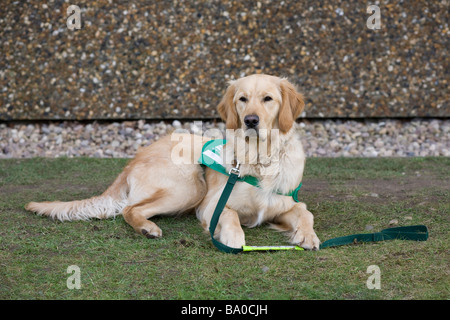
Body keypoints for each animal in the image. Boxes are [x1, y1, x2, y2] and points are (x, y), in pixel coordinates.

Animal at [25, 74, 320, 250]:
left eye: (268, 99)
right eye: (242, 99)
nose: (250, 120)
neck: (260, 158)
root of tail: (134, 159)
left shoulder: (284, 202)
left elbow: (305, 212)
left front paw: (308, 235)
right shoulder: (212, 204)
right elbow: (231, 215)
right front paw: (234, 237)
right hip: (191, 187)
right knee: (129, 209)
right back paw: (147, 228)